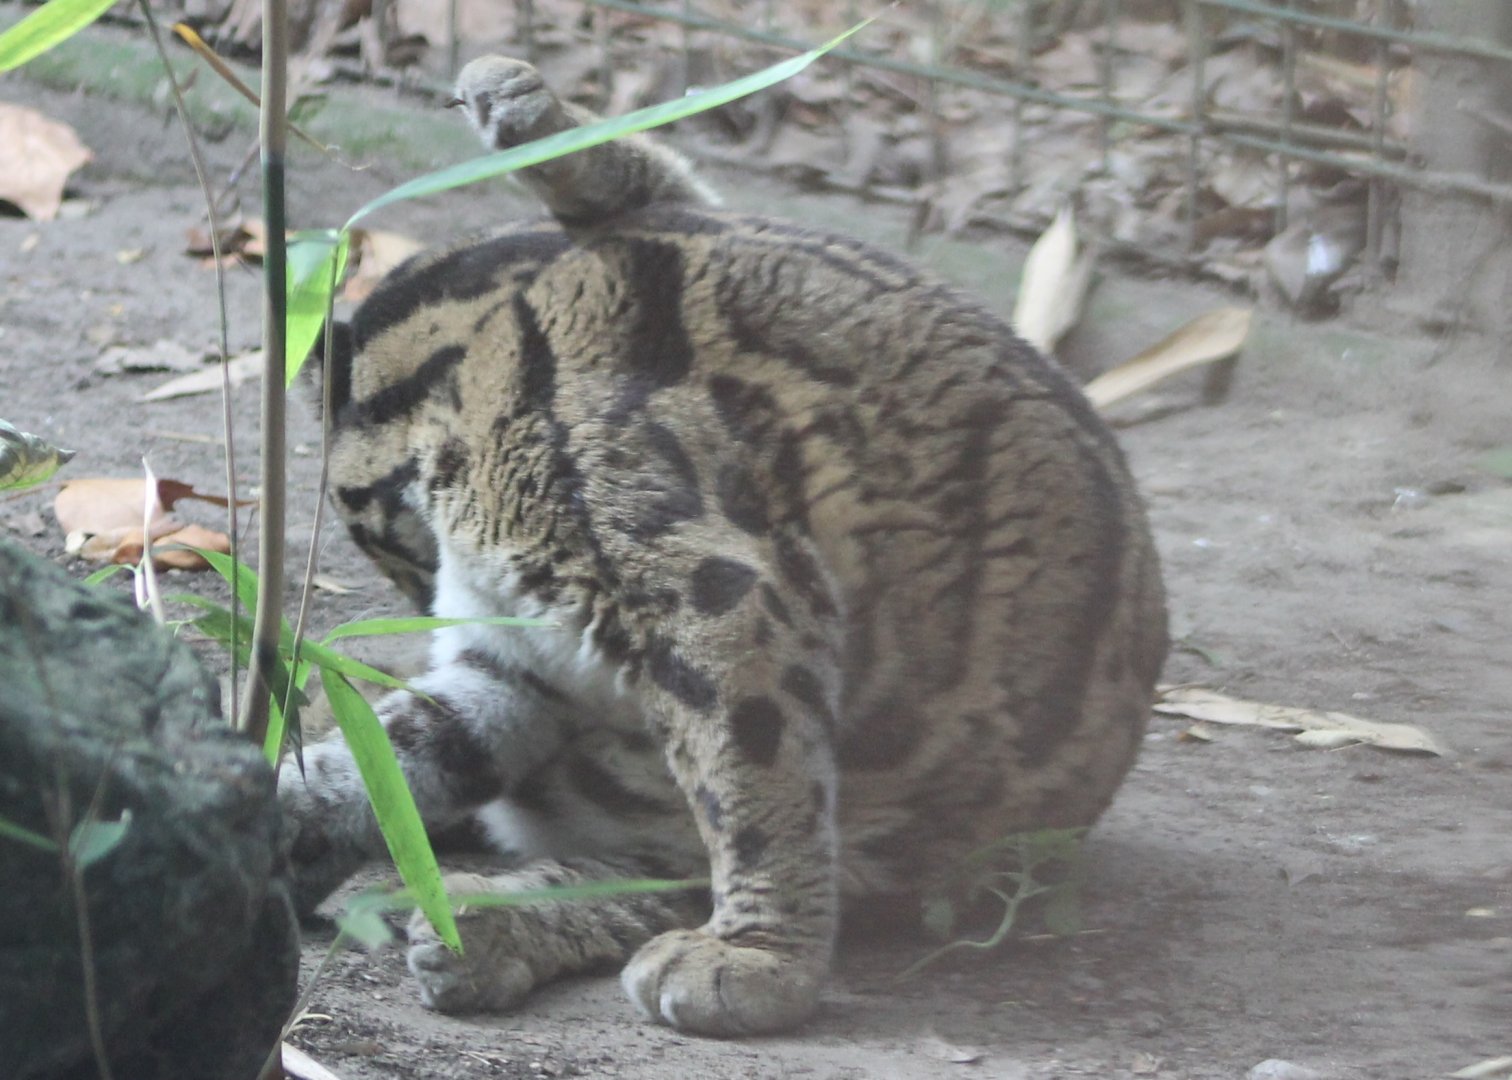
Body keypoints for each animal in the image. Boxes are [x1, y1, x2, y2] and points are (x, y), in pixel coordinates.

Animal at [277, 54, 1169, 1038]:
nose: (417, 604)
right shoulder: (524, 663)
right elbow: (400, 747)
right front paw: (284, 803)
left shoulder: (716, 592)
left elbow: (755, 787)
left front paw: (762, 962)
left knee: (664, 875)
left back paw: (484, 925)